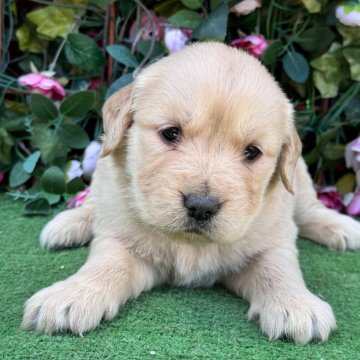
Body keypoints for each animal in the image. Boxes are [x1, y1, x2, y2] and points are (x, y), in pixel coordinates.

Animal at [23, 42, 360, 344]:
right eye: (170, 133)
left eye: (252, 152)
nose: (201, 206)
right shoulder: (119, 237)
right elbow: (106, 264)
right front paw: (73, 294)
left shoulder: (274, 236)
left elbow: (277, 268)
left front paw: (296, 304)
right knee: (94, 203)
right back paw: (68, 224)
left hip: (299, 179)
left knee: (311, 210)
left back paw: (344, 228)